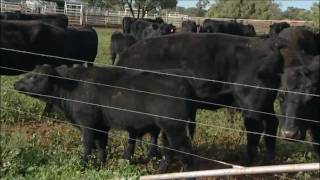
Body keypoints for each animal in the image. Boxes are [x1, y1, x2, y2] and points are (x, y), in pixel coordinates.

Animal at [15, 64, 198, 172]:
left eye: (34, 76)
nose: (16, 83)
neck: (72, 86)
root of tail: (184, 80)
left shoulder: (88, 125)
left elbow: (88, 145)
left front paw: (83, 164)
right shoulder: (101, 126)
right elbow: (101, 145)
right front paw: (100, 163)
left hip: (174, 126)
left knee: (184, 147)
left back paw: (185, 171)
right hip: (169, 128)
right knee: (170, 148)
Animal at [116, 32, 286, 165]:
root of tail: (268, 44)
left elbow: (138, 132)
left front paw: (130, 156)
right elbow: (153, 131)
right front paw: (152, 154)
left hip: (250, 101)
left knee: (255, 128)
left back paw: (246, 161)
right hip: (266, 103)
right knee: (272, 123)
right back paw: (268, 159)